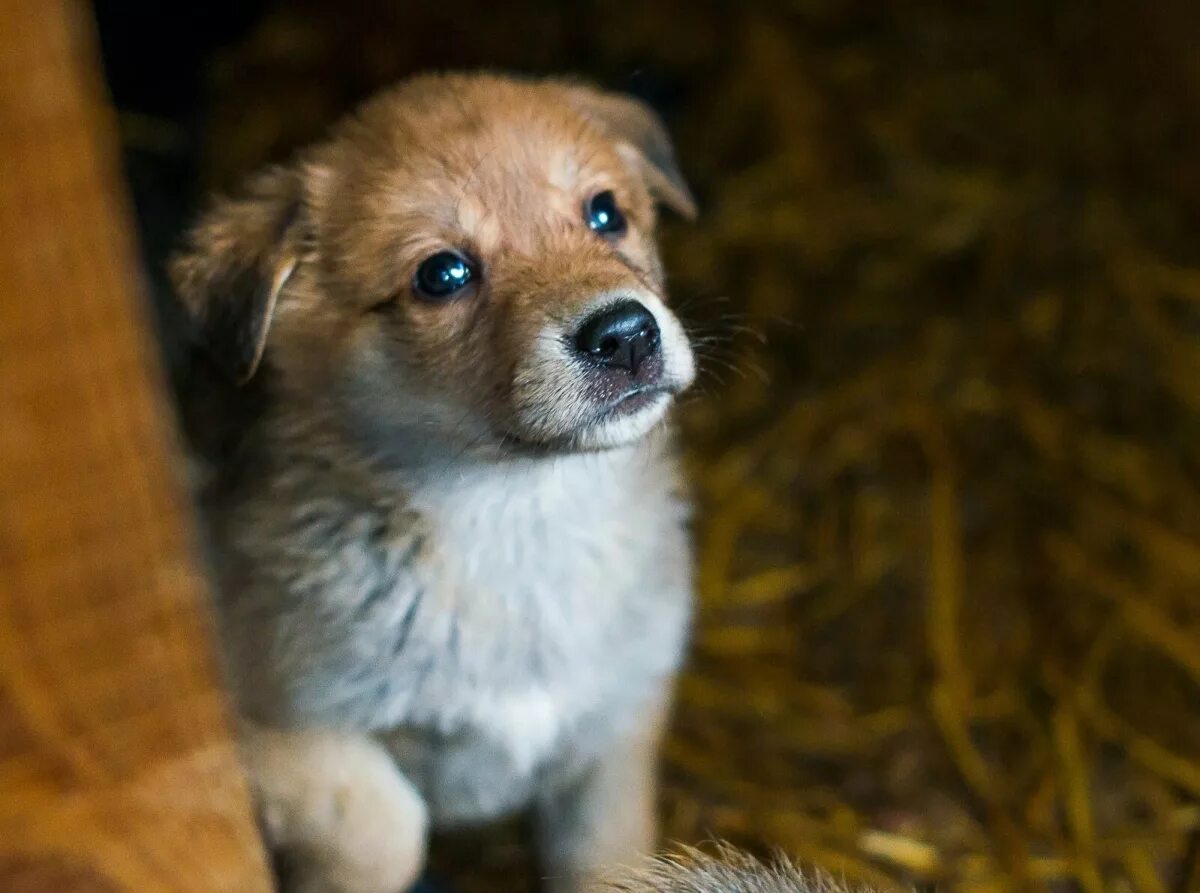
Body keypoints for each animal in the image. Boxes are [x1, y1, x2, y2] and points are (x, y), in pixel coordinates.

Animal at [169, 71, 696, 893]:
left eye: (605, 212)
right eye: (442, 275)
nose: (626, 335)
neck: (517, 526)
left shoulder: (615, 730)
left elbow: (612, 855)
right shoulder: (267, 726)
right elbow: (383, 824)